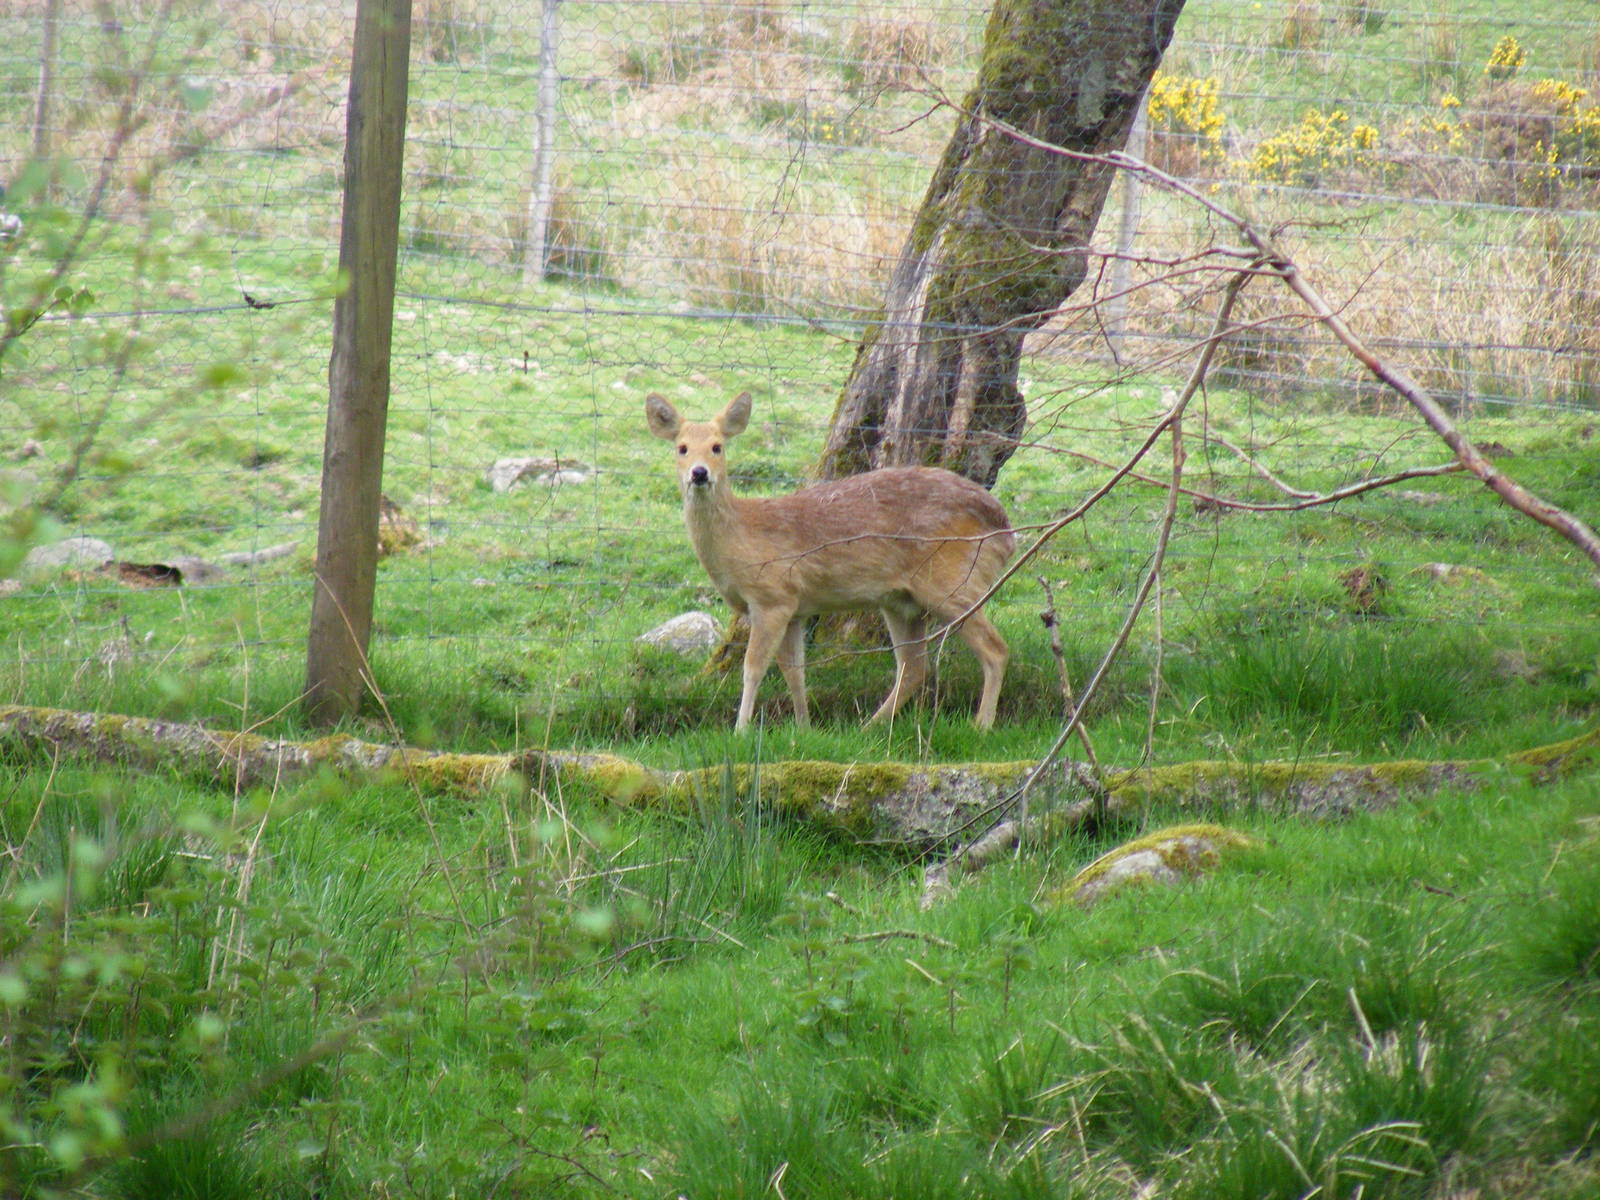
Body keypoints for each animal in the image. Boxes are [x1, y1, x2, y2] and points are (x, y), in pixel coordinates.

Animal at [646, 390, 1015, 732]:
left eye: (717, 447)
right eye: (681, 448)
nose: (699, 473)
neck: (742, 536)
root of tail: (1006, 532)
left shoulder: (772, 596)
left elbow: (753, 668)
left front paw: (741, 731)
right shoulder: (794, 608)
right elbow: (794, 672)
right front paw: (804, 728)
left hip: (953, 581)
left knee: (995, 649)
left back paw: (981, 725)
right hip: (901, 601)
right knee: (914, 666)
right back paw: (870, 727)